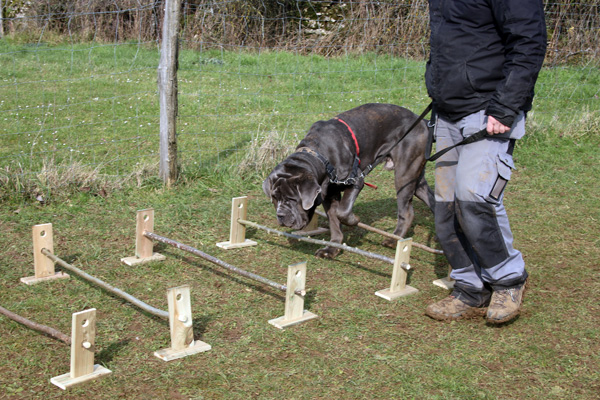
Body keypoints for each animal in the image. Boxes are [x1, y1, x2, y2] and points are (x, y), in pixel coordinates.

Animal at [264, 103, 436, 260]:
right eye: (274, 198)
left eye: (292, 199)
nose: (280, 215)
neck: (319, 154)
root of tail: (422, 121)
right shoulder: (328, 194)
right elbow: (334, 221)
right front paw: (332, 248)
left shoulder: (356, 181)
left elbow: (343, 211)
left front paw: (354, 220)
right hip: (416, 179)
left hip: (404, 175)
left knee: (406, 212)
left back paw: (394, 240)